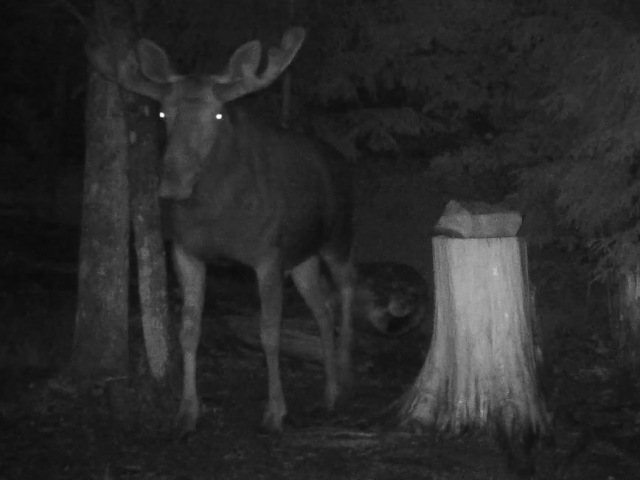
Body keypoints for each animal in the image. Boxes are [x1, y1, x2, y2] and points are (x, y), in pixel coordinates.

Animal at [88, 27, 354, 434]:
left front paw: (275, 412)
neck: (216, 215)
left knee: (347, 290)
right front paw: (187, 412)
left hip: (338, 238)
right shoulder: (185, 250)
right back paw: (329, 392)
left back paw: (346, 372)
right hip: (301, 257)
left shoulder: (267, 255)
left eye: (216, 113)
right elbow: (188, 330)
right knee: (322, 308)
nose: (172, 185)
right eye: (164, 112)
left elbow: (269, 333)